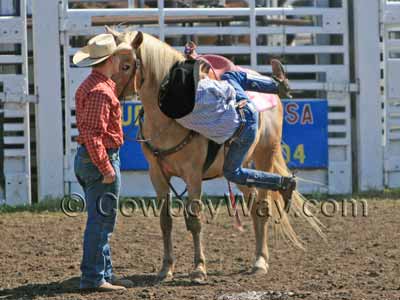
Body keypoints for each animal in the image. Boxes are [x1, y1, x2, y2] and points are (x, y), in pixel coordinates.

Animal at [108, 28, 324, 284]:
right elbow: (165, 221)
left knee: (262, 207)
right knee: (253, 204)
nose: (107, 89)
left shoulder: (193, 175)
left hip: (265, 156)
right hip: (238, 167)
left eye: (126, 65)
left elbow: (194, 220)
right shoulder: (156, 174)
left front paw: (199, 269)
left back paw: (261, 261)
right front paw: (166, 269)